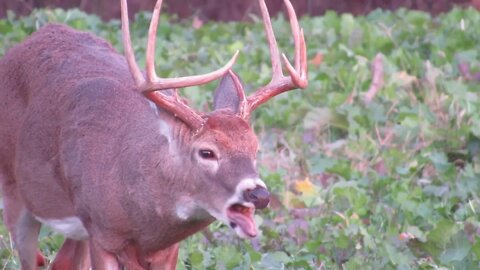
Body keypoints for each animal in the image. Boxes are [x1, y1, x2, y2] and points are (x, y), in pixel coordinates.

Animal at [0, 0, 308, 268]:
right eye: (207, 152)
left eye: (255, 148)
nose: (259, 194)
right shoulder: (102, 234)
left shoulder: (165, 250)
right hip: (15, 192)